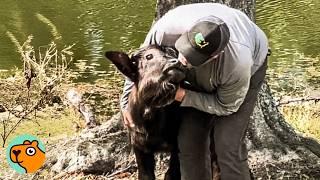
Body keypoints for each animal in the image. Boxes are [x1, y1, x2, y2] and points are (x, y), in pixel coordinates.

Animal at [105, 45, 185, 180]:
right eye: (149, 56)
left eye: (173, 53)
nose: (175, 63)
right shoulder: (140, 148)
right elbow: (145, 175)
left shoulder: (177, 148)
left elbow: (171, 175)